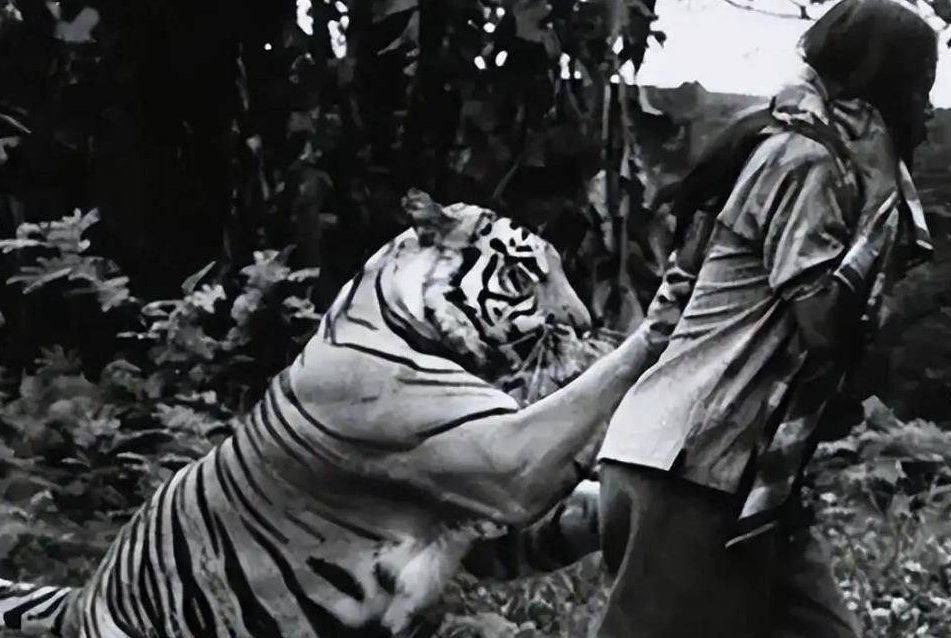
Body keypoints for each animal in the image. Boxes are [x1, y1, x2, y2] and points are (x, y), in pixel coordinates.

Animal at [0, 189, 667, 637]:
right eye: (526, 269)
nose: (585, 322)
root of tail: (81, 600)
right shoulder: (501, 458)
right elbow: (597, 387)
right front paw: (665, 307)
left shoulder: (486, 522)